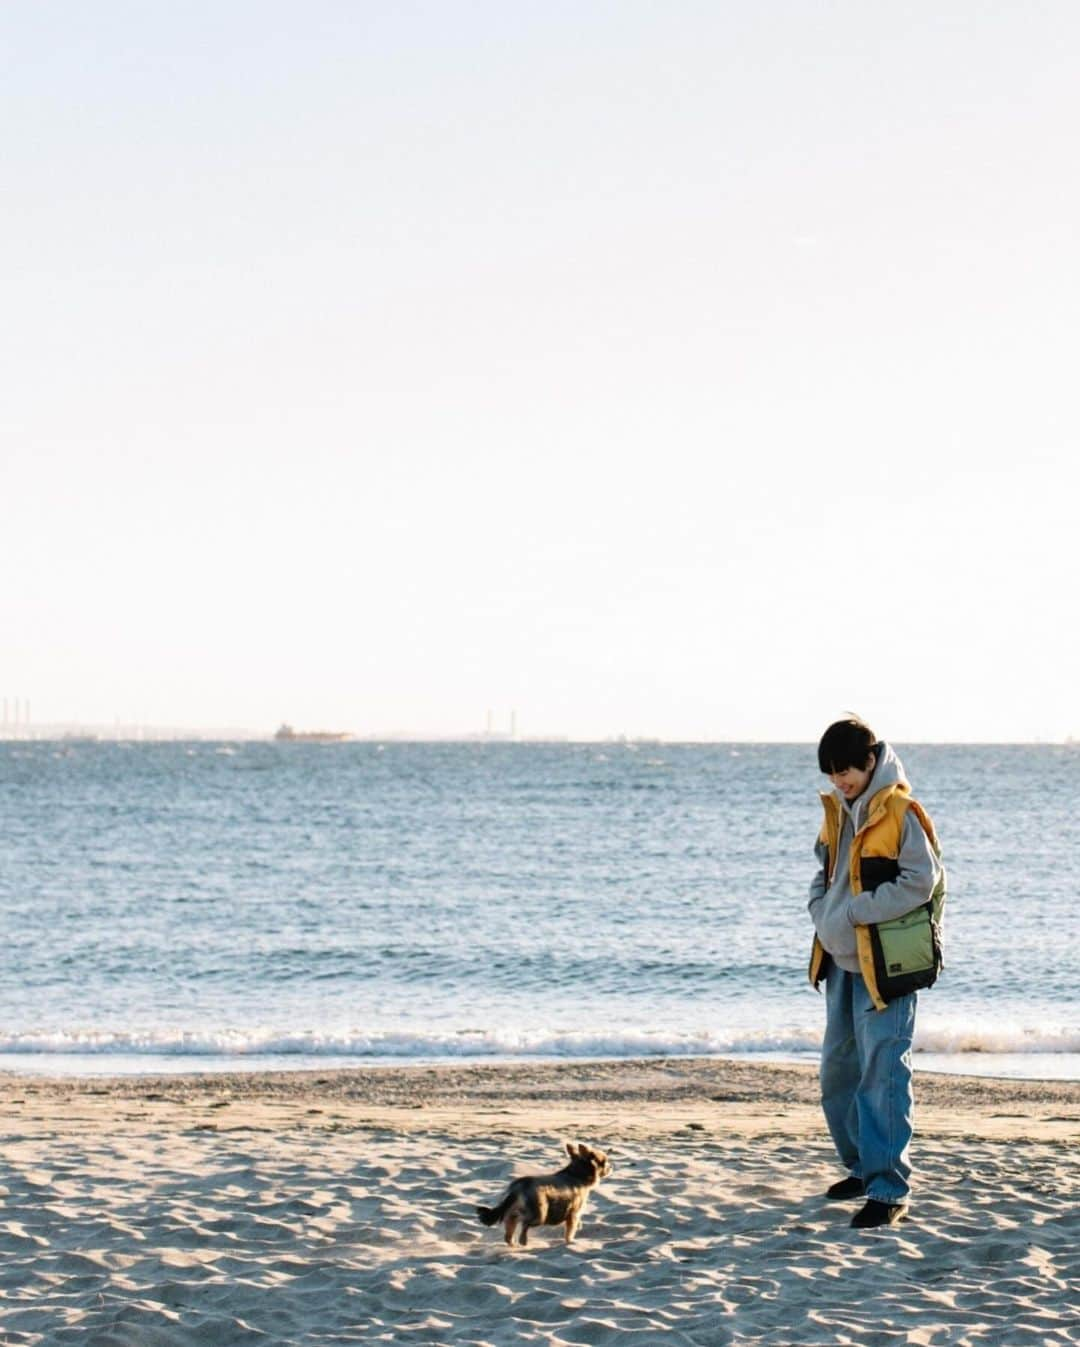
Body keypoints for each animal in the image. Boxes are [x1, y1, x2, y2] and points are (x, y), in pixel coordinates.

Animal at [476, 1142, 611, 1244]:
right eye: (604, 1162)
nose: (611, 1167)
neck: (576, 1174)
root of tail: (518, 1187)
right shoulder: (573, 1214)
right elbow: (570, 1231)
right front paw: (570, 1241)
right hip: (540, 1215)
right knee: (523, 1223)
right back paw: (523, 1241)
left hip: (512, 1214)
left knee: (509, 1232)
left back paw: (513, 1244)